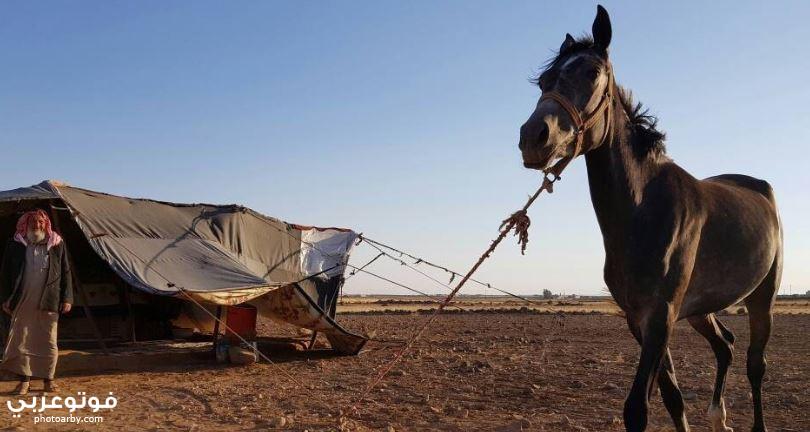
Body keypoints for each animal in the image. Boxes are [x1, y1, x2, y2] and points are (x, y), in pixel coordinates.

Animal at [516, 5, 784, 432]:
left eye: (592, 72)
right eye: (544, 81)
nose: (533, 137)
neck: (642, 211)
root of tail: (762, 189)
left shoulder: (661, 317)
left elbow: (638, 409)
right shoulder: (640, 320)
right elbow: (673, 398)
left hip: (762, 299)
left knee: (756, 365)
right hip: (701, 311)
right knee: (725, 346)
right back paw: (718, 415)